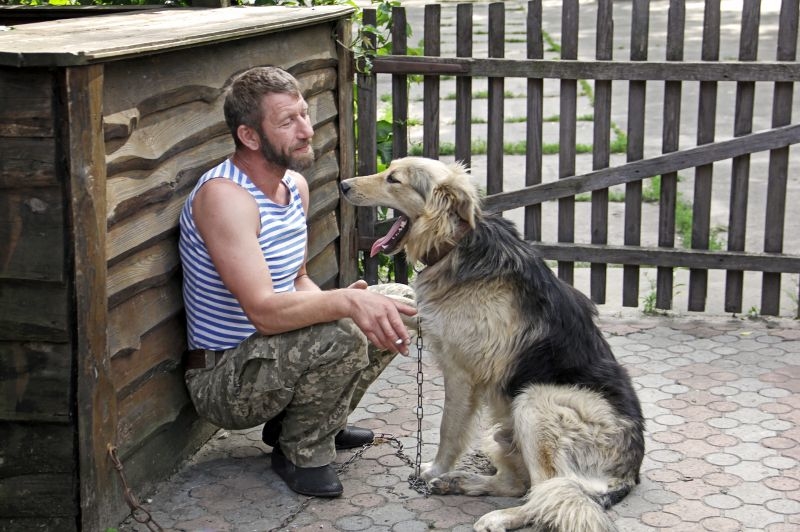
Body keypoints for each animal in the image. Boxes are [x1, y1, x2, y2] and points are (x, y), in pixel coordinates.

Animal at [338, 158, 644, 532]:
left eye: (393, 179)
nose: (343, 186)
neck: (456, 243)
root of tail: (628, 475)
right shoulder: (431, 320)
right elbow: (397, 299)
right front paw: (352, 294)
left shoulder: (461, 374)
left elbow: (448, 429)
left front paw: (435, 468)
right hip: (501, 431)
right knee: (520, 485)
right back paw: (461, 483)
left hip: (533, 401)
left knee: (549, 493)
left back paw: (496, 515)